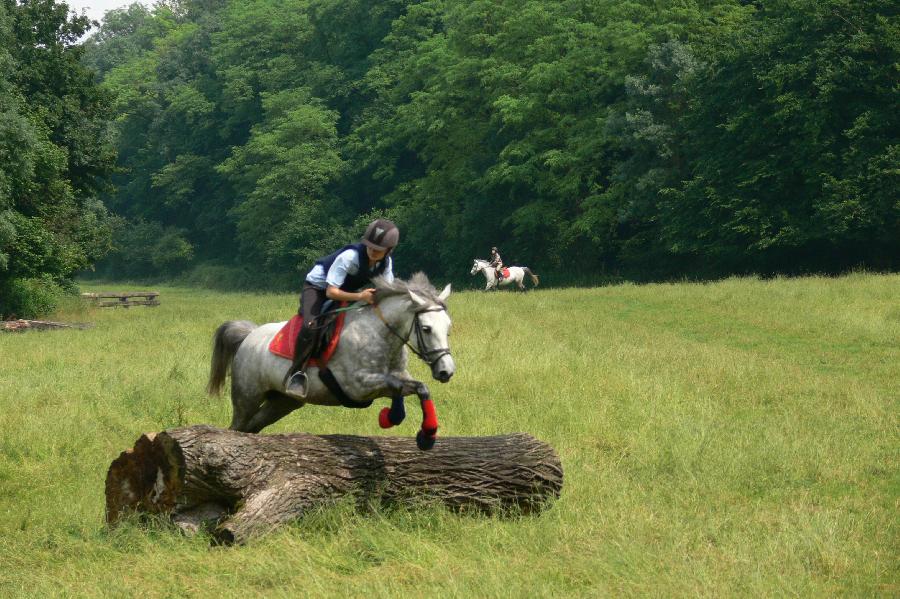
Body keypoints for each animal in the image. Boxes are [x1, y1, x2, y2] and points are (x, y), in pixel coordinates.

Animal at [207, 274, 454, 450]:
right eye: (426, 328)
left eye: (448, 328)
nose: (446, 371)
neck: (380, 333)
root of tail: (249, 335)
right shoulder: (358, 386)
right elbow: (401, 386)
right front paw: (410, 427)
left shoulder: (397, 376)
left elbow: (418, 388)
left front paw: (421, 432)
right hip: (247, 396)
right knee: (238, 427)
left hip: (282, 402)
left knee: (253, 427)